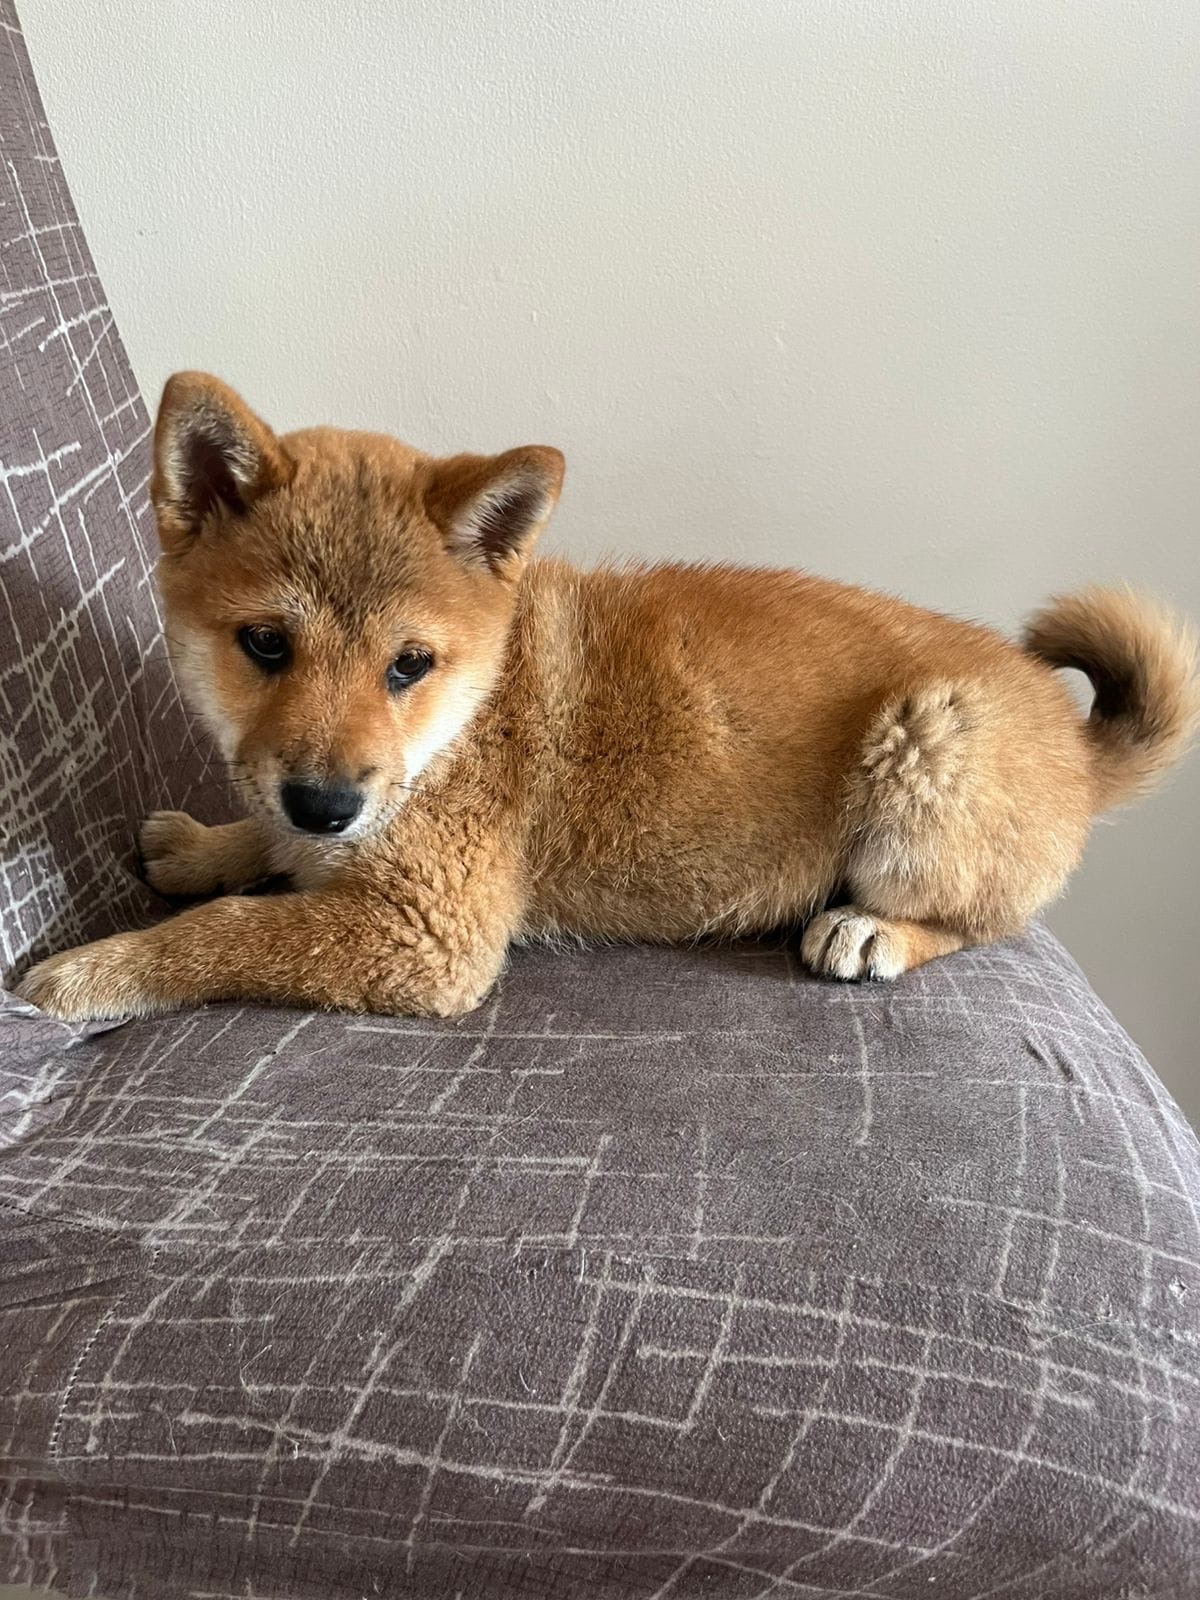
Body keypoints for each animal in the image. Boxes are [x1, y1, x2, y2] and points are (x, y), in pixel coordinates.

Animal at [16, 372, 1198, 1022]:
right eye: (265, 644)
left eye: (408, 664)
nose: (327, 805)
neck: (471, 715)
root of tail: (1071, 735)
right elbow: (254, 850)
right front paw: (202, 842)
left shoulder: (428, 934)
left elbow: (222, 934)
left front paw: (91, 972)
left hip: (930, 750)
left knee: (984, 920)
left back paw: (873, 933)